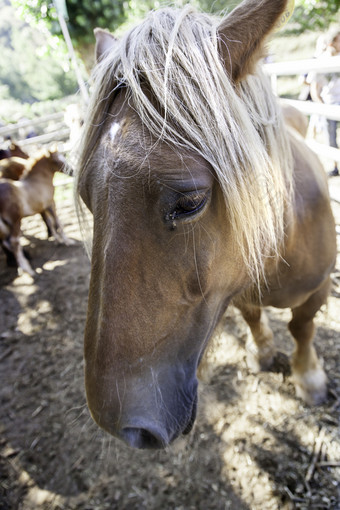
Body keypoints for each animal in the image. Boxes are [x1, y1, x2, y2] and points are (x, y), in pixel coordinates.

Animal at [75, 0, 338, 448]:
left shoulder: (318, 287)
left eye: (191, 202)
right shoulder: (236, 285)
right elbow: (252, 316)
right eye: (85, 196)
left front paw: (309, 378)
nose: (121, 426)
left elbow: (301, 327)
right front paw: (261, 352)